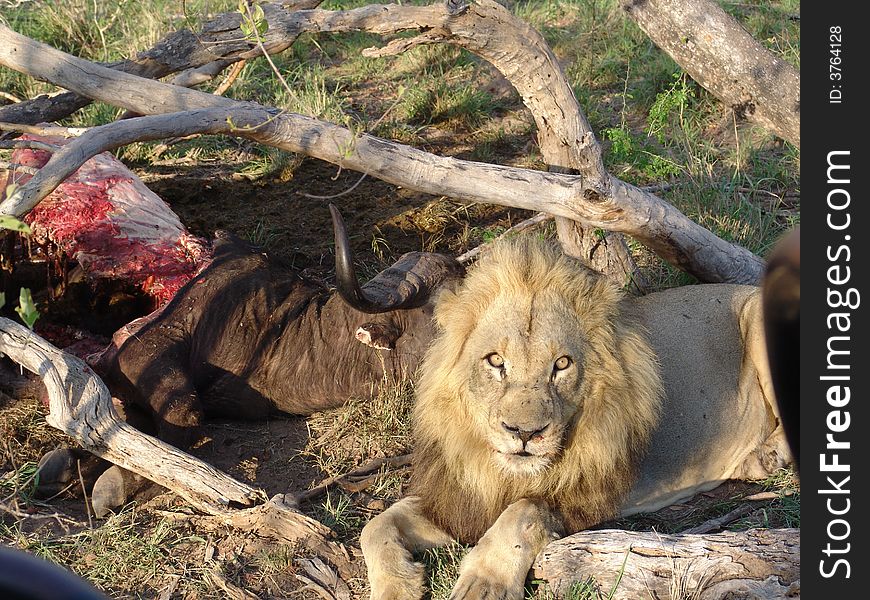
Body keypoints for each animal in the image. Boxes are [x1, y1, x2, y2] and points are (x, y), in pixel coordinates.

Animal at [362, 238, 668, 600]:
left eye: (562, 364)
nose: (524, 432)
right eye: (496, 361)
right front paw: (396, 586)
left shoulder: (584, 507)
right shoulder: (456, 504)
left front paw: (484, 582)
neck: (506, 477)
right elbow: (376, 524)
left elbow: (524, 510)